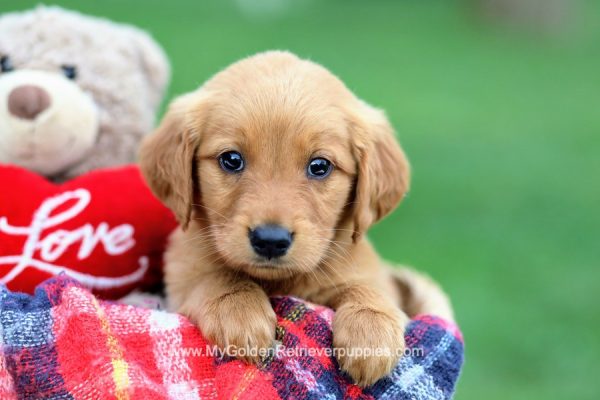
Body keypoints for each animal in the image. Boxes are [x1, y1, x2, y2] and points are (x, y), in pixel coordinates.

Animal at [139, 50, 450, 388]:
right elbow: (216, 277)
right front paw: (239, 313)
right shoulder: (182, 267)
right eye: (231, 159)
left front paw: (371, 335)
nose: (270, 241)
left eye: (320, 166)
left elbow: (368, 288)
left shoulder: (365, 271)